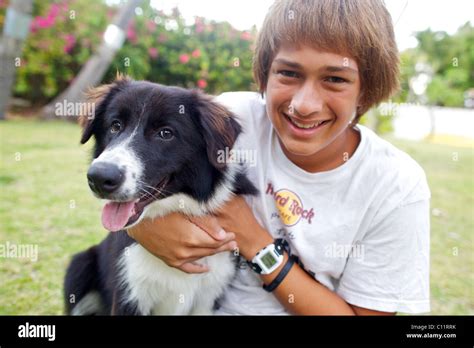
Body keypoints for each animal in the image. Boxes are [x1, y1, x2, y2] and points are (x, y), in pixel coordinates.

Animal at [65, 76, 258, 316]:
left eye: (166, 133)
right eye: (115, 125)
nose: (99, 178)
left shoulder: (208, 297)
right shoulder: (129, 294)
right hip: (78, 267)